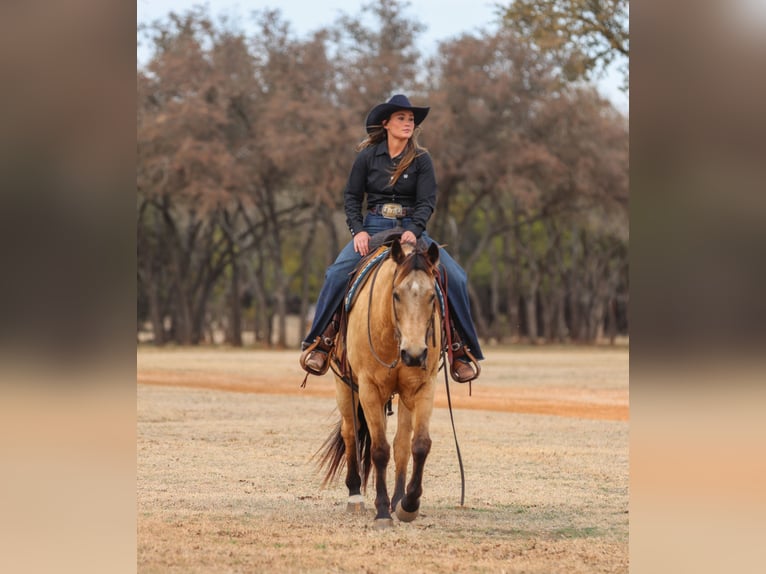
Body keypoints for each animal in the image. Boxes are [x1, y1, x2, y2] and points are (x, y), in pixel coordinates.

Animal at [316, 239, 443, 529]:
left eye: (432, 296)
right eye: (396, 295)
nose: (415, 354)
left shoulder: (423, 387)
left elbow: (418, 445)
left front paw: (407, 504)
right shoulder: (368, 389)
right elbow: (379, 449)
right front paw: (383, 511)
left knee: (400, 443)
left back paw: (396, 499)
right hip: (345, 388)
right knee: (350, 433)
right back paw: (355, 496)